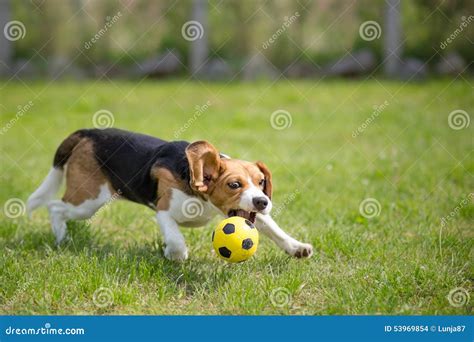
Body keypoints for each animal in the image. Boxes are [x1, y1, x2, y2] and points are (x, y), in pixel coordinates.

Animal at [27, 130, 312, 260]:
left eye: (261, 182)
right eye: (234, 184)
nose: (263, 201)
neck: (203, 197)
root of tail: (88, 133)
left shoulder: (253, 216)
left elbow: (275, 230)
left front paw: (297, 247)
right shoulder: (164, 210)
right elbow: (175, 239)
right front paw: (175, 255)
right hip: (88, 200)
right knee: (55, 206)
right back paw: (62, 238)